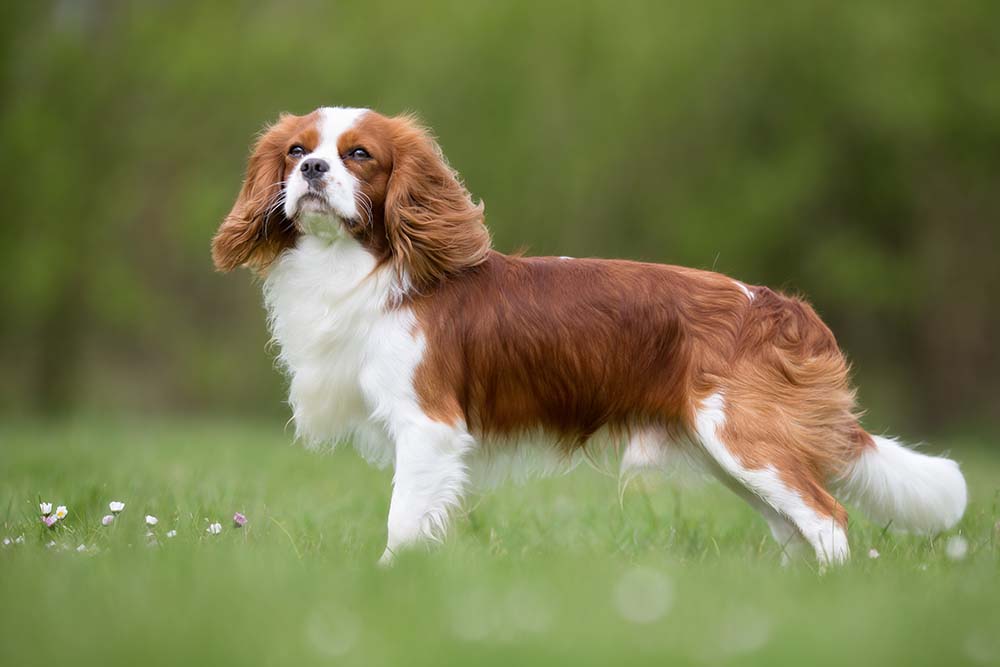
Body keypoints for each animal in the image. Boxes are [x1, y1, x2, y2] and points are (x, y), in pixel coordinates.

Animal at [213, 107, 968, 568]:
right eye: (297, 149)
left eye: (359, 155)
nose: (312, 170)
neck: (360, 266)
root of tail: (785, 309)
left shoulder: (427, 427)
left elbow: (403, 521)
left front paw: (390, 578)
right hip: (733, 454)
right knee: (794, 525)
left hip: (745, 439)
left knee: (828, 516)